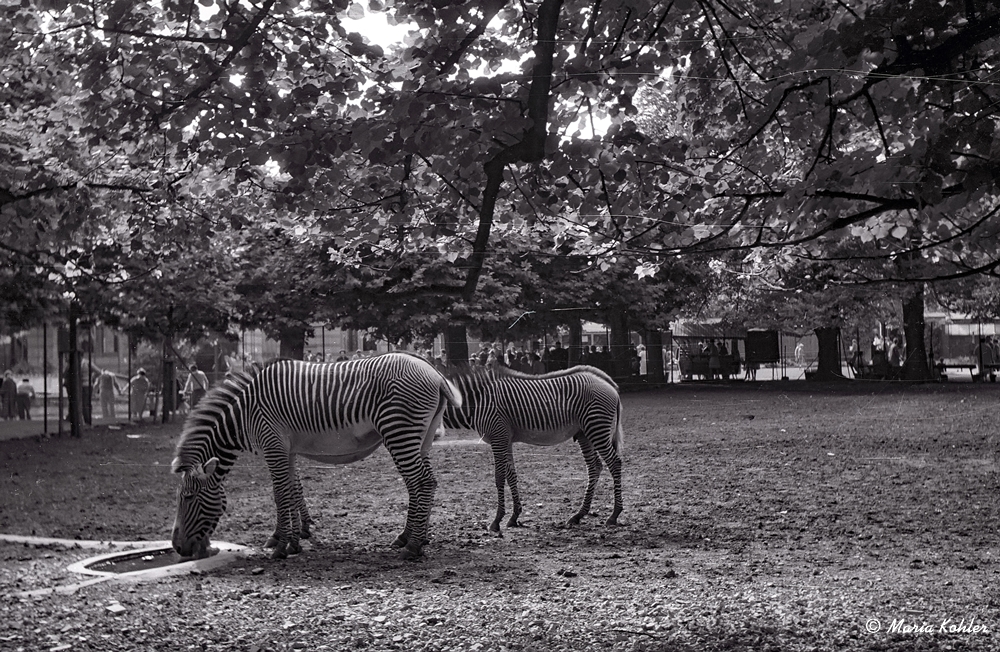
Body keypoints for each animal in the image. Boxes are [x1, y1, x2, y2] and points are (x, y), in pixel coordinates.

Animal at [173, 352, 464, 560]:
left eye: (188, 497)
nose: (177, 548)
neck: (243, 414)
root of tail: (434, 372)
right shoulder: (286, 449)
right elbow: (292, 490)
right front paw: (291, 541)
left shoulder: (273, 444)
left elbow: (279, 494)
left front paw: (280, 547)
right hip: (420, 438)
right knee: (423, 484)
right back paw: (412, 537)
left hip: (399, 431)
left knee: (421, 482)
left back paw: (412, 546)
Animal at [446, 364, 624, 532]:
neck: (479, 400)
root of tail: (609, 384)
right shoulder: (506, 440)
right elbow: (511, 476)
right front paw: (514, 517)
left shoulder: (498, 438)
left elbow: (499, 477)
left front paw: (496, 521)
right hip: (584, 433)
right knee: (595, 467)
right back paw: (578, 515)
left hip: (596, 428)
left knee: (614, 463)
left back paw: (614, 515)